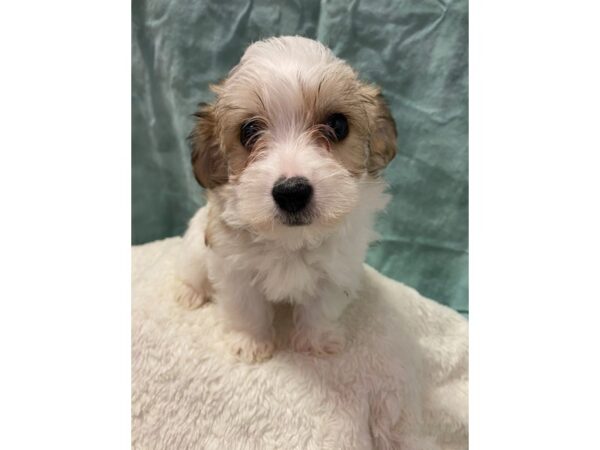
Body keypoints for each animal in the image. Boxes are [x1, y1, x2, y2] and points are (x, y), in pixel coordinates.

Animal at [176, 37, 396, 364]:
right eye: (248, 131)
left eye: (338, 125)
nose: (292, 191)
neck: (291, 241)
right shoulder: (234, 267)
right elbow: (246, 308)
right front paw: (251, 341)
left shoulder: (336, 269)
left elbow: (321, 307)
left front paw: (316, 340)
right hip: (194, 247)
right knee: (191, 271)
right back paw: (189, 292)